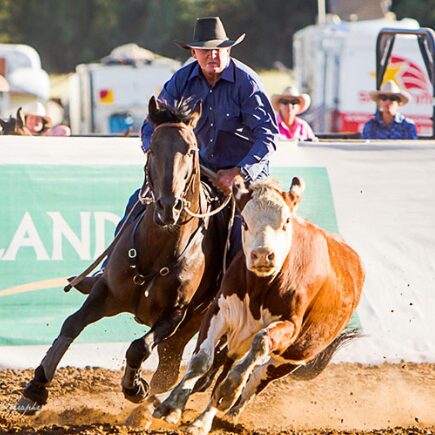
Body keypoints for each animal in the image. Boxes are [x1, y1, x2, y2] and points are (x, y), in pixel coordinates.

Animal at [16, 97, 228, 414]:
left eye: (191, 150)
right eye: (152, 149)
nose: (169, 207)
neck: (157, 251)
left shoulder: (175, 314)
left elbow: (139, 347)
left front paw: (134, 386)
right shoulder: (106, 292)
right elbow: (72, 324)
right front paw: (35, 388)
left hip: (200, 321)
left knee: (183, 366)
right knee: (169, 366)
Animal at [153, 176, 365, 435]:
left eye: (286, 220)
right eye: (244, 220)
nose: (263, 255)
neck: (259, 289)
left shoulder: (289, 326)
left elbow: (257, 348)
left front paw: (228, 393)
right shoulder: (219, 311)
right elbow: (201, 360)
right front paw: (171, 407)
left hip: (294, 355)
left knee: (258, 375)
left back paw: (217, 416)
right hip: (237, 340)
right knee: (230, 370)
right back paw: (208, 416)